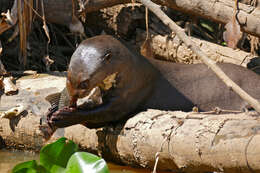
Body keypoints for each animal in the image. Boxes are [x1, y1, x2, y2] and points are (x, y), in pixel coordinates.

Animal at [47, 35, 260, 129]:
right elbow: (92, 105)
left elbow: (102, 114)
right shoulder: (102, 93)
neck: (133, 72)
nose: (72, 96)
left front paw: (64, 116)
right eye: (68, 77)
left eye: (84, 83)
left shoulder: (131, 94)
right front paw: (53, 110)